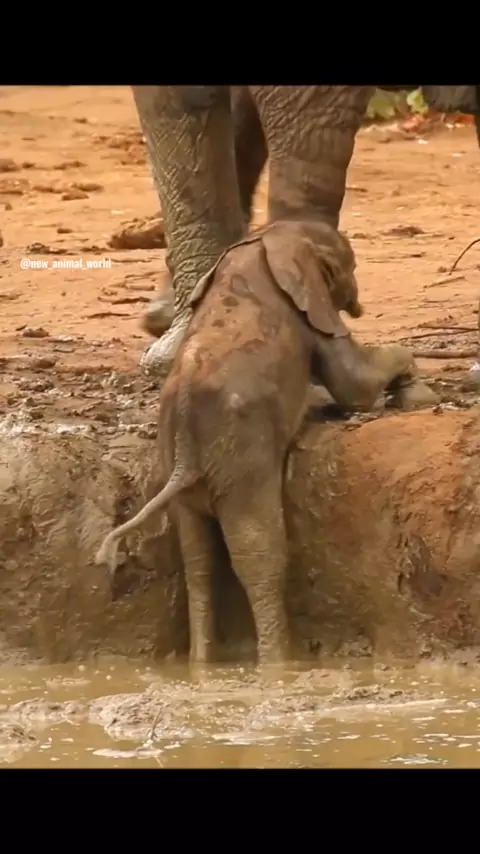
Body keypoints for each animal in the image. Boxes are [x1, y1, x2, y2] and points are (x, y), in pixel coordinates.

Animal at [95, 217, 427, 664]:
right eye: (349, 266)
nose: (358, 302)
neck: (263, 241)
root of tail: (185, 456)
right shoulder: (308, 318)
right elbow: (352, 381)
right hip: (242, 460)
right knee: (259, 552)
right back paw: (278, 664)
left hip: (180, 467)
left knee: (198, 557)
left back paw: (203, 666)